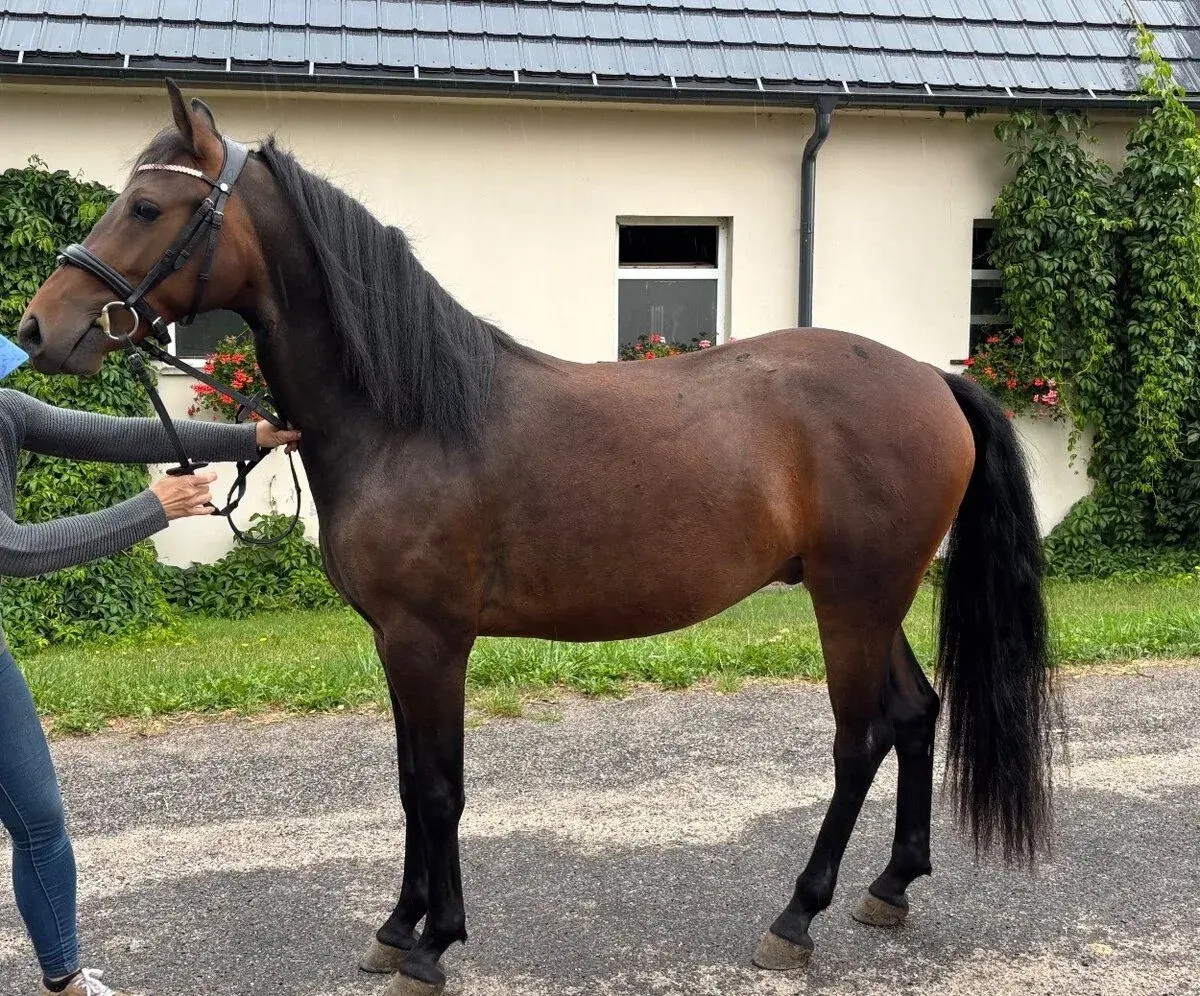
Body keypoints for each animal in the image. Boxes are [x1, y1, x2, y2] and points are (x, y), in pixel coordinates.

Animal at [19, 81, 1058, 996]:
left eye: (146, 205)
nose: (38, 327)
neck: (407, 418)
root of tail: (934, 379)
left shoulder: (431, 640)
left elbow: (440, 789)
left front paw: (435, 945)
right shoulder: (395, 643)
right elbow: (411, 784)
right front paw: (397, 928)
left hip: (853, 601)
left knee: (861, 739)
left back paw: (796, 918)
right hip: (872, 599)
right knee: (917, 714)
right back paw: (891, 887)